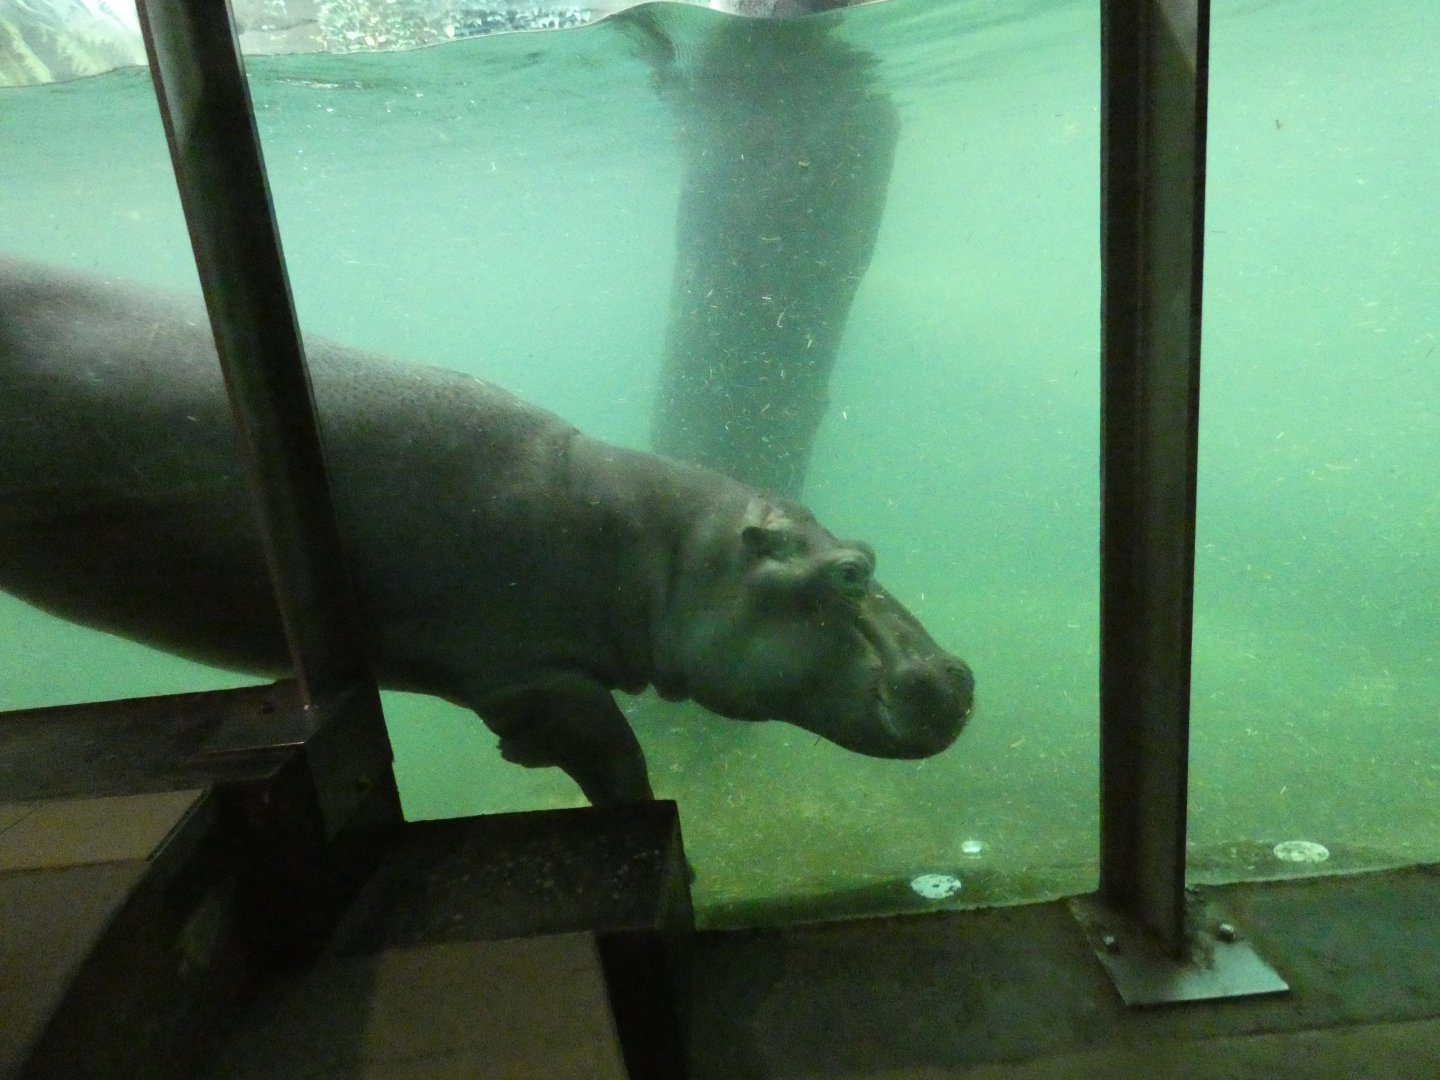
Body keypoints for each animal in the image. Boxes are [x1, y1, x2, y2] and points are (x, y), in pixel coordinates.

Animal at [0, 258, 974, 805]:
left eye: (869, 554)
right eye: (846, 573)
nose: (956, 677)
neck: (658, 550)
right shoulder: (527, 672)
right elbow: (615, 758)